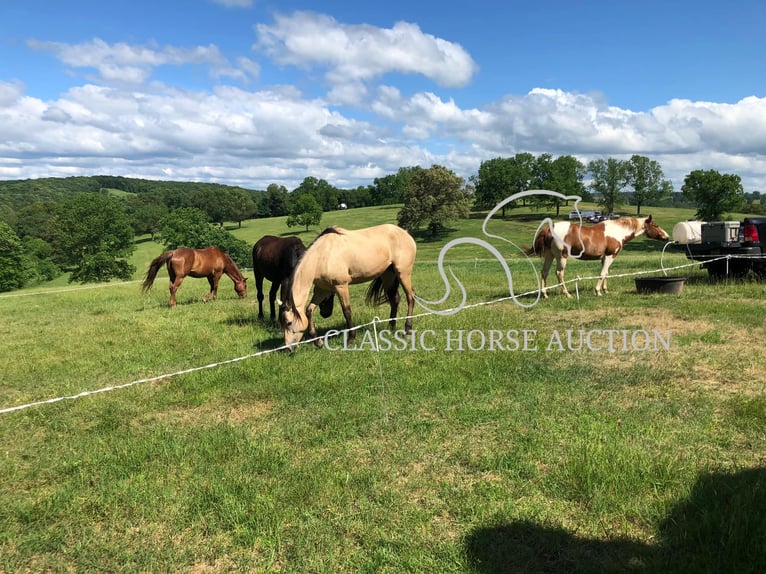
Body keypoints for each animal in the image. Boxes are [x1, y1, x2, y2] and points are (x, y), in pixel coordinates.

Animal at [280, 225, 416, 352]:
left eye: (289, 323)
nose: (288, 348)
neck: (322, 255)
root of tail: (405, 233)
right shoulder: (322, 290)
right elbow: (309, 310)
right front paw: (318, 342)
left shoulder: (341, 286)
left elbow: (347, 311)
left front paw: (350, 339)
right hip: (388, 275)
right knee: (395, 299)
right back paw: (390, 328)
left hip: (403, 273)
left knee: (410, 297)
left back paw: (408, 331)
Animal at [532, 215, 668, 300]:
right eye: (655, 225)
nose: (666, 237)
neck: (617, 231)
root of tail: (549, 228)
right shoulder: (610, 256)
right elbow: (602, 274)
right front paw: (597, 292)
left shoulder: (604, 258)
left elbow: (606, 273)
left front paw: (605, 290)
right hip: (561, 257)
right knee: (559, 273)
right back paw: (567, 295)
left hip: (550, 255)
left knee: (544, 272)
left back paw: (544, 294)